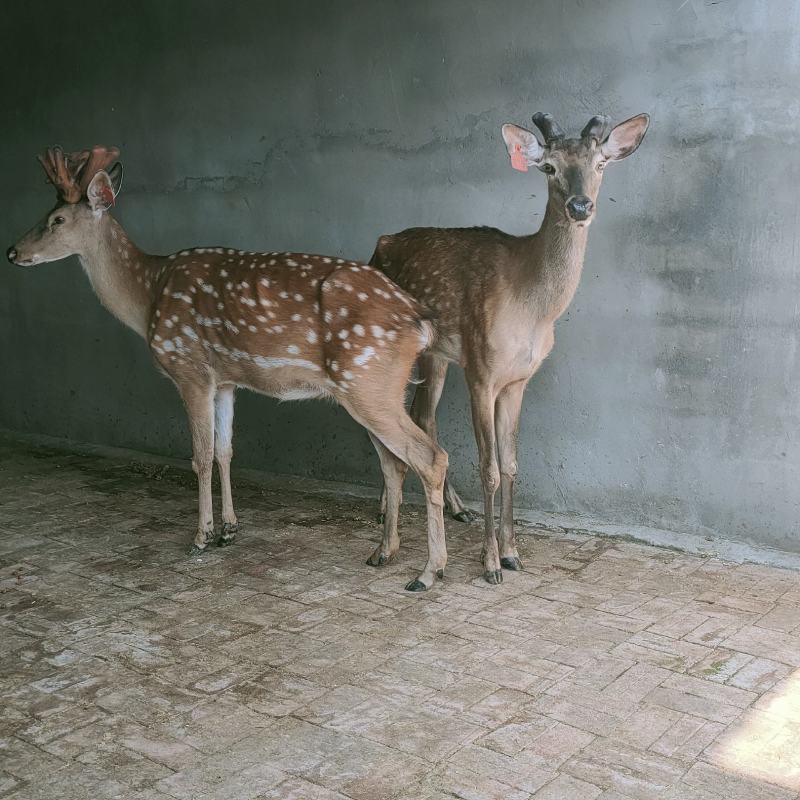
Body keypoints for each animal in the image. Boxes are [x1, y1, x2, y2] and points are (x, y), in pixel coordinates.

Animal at [7, 145, 449, 592]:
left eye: (56, 220)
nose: (12, 252)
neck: (148, 295)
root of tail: (421, 320)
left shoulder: (190, 368)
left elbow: (200, 456)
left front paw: (201, 536)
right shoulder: (225, 382)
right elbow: (225, 450)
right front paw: (230, 529)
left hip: (367, 381)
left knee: (430, 457)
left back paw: (428, 571)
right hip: (378, 387)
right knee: (394, 462)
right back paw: (383, 552)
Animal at [369, 112, 650, 585]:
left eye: (600, 165)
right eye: (550, 167)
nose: (580, 206)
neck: (532, 311)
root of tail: (378, 244)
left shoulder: (519, 380)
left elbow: (512, 465)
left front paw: (513, 552)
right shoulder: (481, 371)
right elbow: (489, 469)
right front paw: (489, 563)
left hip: (437, 356)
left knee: (423, 416)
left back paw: (453, 509)